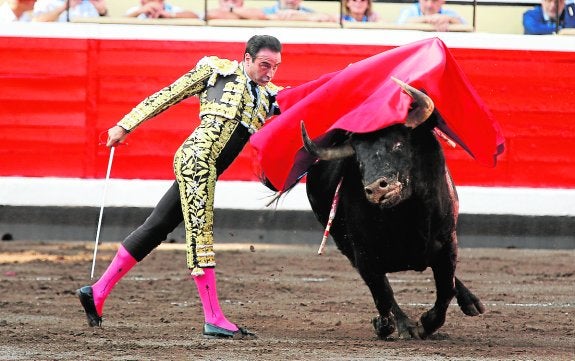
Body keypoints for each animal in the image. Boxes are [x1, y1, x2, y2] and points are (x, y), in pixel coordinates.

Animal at [302, 80, 486, 338]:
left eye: (398, 144)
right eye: (358, 158)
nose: (376, 189)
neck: (405, 217)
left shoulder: (448, 241)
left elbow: (445, 288)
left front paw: (427, 322)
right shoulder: (362, 255)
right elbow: (383, 294)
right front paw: (394, 325)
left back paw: (471, 303)